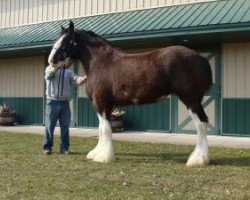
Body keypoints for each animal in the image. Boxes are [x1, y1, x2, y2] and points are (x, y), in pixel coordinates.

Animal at [47, 20, 212, 167]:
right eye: (56, 39)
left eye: (67, 40)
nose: (51, 61)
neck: (100, 61)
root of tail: (201, 58)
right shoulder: (107, 106)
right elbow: (102, 129)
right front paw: (97, 153)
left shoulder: (100, 103)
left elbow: (105, 129)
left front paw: (103, 157)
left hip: (191, 100)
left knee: (201, 124)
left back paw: (197, 159)